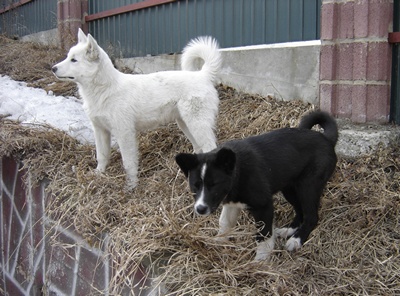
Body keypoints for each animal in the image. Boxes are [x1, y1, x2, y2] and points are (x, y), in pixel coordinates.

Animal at [51, 29, 220, 187]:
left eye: (74, 60)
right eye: (68, 57)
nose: (53, 68)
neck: (105, 89)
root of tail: (202, 75)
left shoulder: (124, 133)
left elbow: (128, 163)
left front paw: (131, 185)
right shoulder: (100, 131)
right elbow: (102, 156)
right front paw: (98, 175)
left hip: (197, 124)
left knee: (210, 147)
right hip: (185, 124)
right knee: (199, 148)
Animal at [175, 111, 338, 262]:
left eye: (214, 185)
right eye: (195, 186)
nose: (200, 209)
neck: (238, 171)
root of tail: (326, 139)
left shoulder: (263, 206)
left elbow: (263, 235)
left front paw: (260, 261)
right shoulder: (232, 204)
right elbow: (225, 223)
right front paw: (218, 242)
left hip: (308, 187)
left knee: (311, 216)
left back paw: (296, 240)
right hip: (289, 188)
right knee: (300, 211)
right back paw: (288, 231)